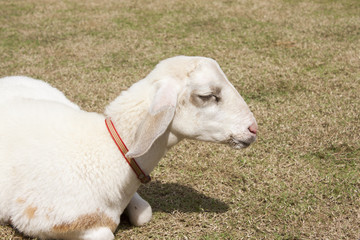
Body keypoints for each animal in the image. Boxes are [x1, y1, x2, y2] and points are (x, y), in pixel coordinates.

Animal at [0, 55, 258, 239]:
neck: (107, 153)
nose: (253, 129)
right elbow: (105, 233)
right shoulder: (44, 218)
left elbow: (144, 214)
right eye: (207, 95)